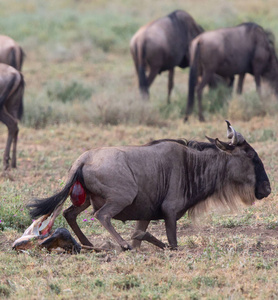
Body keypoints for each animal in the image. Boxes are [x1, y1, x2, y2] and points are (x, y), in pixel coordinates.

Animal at [27, 120, 270, 250]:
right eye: (251, 155)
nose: (266, 189)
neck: (192, 164)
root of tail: (83, 159)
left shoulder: (144, 216)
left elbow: (141, 236)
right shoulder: (170, 213)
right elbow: (171, 244)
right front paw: (134, 242)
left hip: (84, 199)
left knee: (69, 213)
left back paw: (88, 243)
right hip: (123, 195)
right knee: (102, 215)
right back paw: (120, 243)